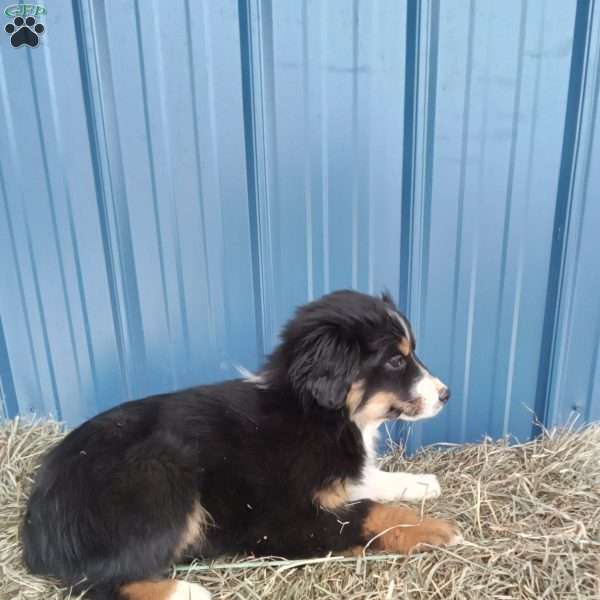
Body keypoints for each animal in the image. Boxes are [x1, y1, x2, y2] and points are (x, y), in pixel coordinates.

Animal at [21, 288, 462, 596]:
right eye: (396, 360)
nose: (446, 394)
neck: (320, 413)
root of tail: (36, 525)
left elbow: (368, 481)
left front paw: (419, 482)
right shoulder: (282, 520)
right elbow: (368, 512)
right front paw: (436, 529)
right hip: (160, 471)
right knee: (97, 582)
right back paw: (187, 592)